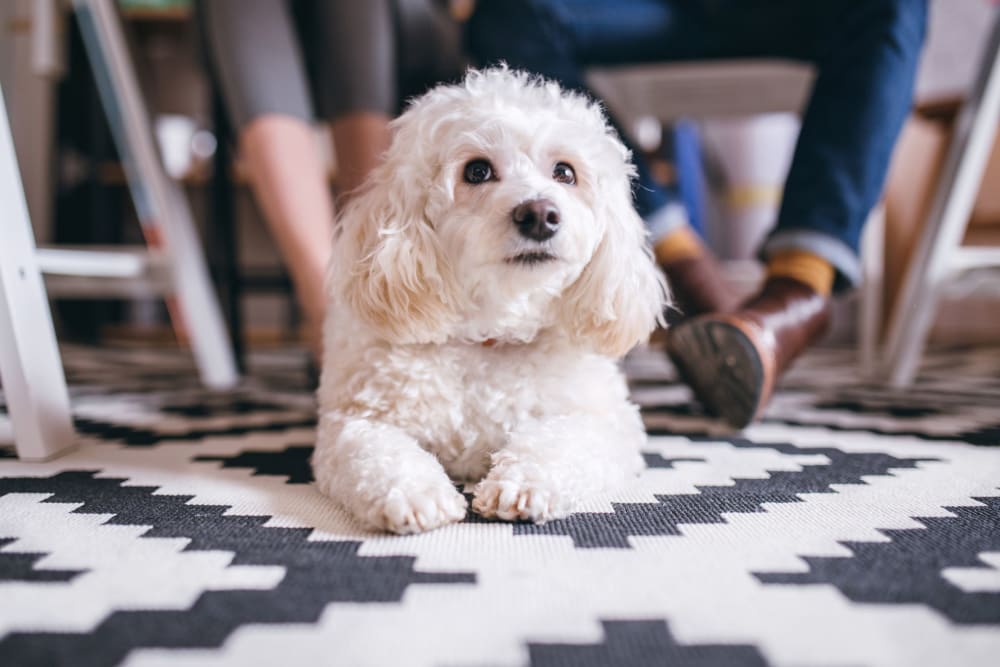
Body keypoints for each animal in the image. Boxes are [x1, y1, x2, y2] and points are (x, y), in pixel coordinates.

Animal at [312, 68, 672, 536]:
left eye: (565, 172)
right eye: (477, 170)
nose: (539, 215)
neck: (492, 333)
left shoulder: (607, 423)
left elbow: (561, 442)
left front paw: (523, 484)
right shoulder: (353, 422)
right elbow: (378, 452)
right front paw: (414, 493)